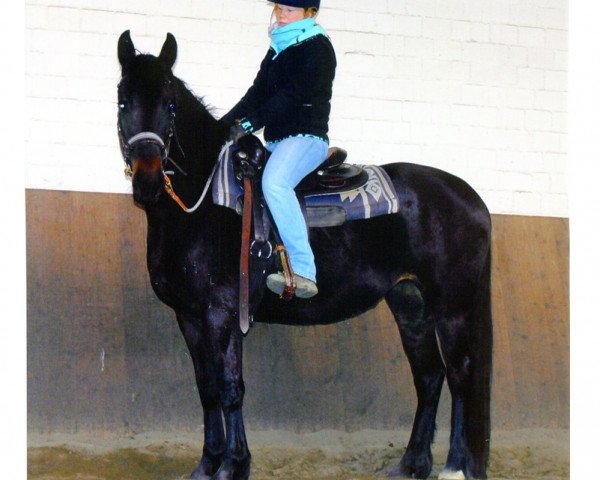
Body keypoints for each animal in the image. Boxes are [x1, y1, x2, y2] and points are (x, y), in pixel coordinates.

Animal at [116, 31, 492, 480]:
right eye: (123, 101)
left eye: (169, 104)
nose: (149, 181)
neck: (203, 204)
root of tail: (471, 198)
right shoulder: (189, 316)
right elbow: (207, 389)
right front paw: (207, 464)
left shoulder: (222, 313)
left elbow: (230, 387)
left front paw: (233, 465)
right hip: (410, 303)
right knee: (430, 375)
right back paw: (412, 463)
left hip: (452, 306)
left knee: (460, 373)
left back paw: (455, 466)